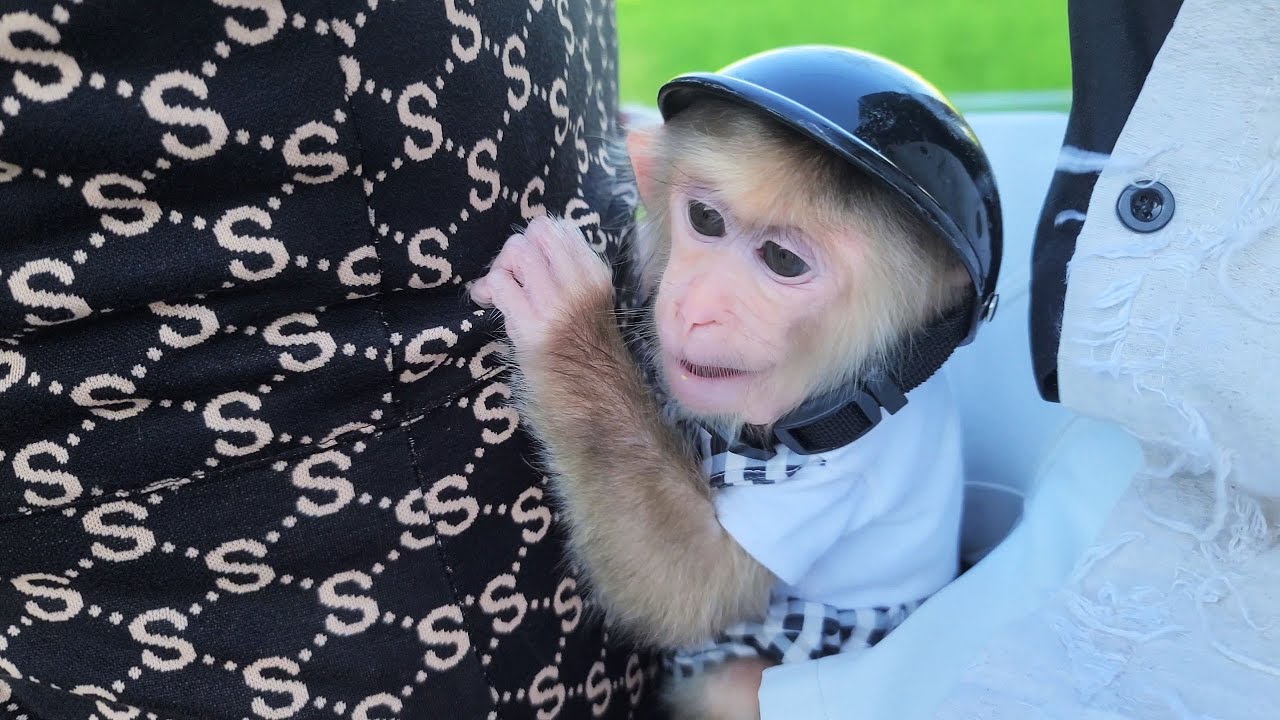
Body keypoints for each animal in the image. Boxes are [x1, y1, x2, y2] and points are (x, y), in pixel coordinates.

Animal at [468, 46, 1000, 720]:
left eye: (783, 261)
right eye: (705, 219)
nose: (697, 308)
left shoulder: (840, 475)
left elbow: (688, 585)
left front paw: (567, 321)